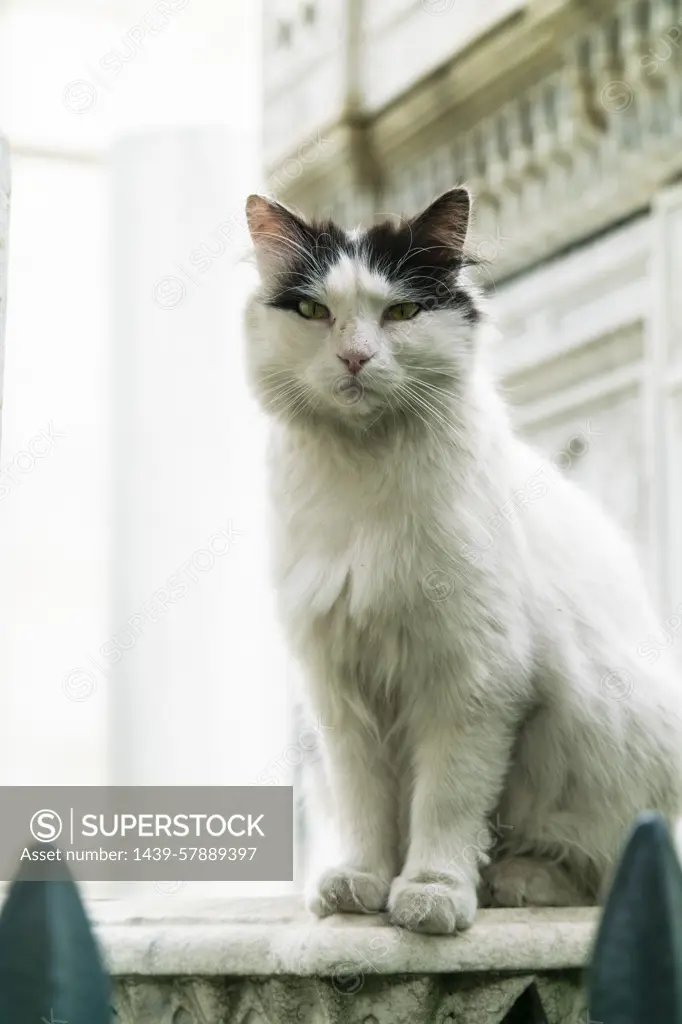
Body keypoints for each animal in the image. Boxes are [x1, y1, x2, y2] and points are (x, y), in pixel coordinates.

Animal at [241, 188, 679, 933]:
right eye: (313, 312)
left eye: (401, 313)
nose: (355, 358)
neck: (365, 480)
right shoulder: (340, 690)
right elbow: (366, 804)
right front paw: (362, 883)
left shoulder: (473, 679)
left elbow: (446, 800)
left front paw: (431, 892)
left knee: (604, 865)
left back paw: (514, 880)